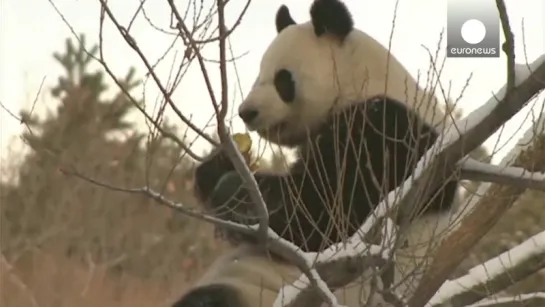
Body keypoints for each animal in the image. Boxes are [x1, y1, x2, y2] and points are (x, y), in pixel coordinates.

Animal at [173, 0, 460, 306]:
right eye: (258, 75)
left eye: (282, 79)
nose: (246, 112)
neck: (363, 80)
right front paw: (220, 164)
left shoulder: (392, 135)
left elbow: (325, 213)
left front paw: (235, 192)